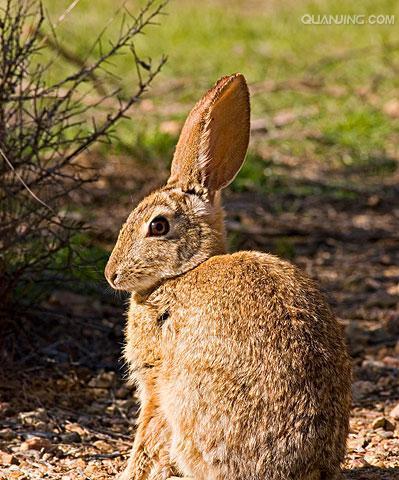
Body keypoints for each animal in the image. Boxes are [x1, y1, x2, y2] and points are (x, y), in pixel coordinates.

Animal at [104, 74, 352, 480]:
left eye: (158, 226)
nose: (111, 275)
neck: (185, 271)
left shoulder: (157, 377)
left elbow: (148, 432)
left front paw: (131, 473)